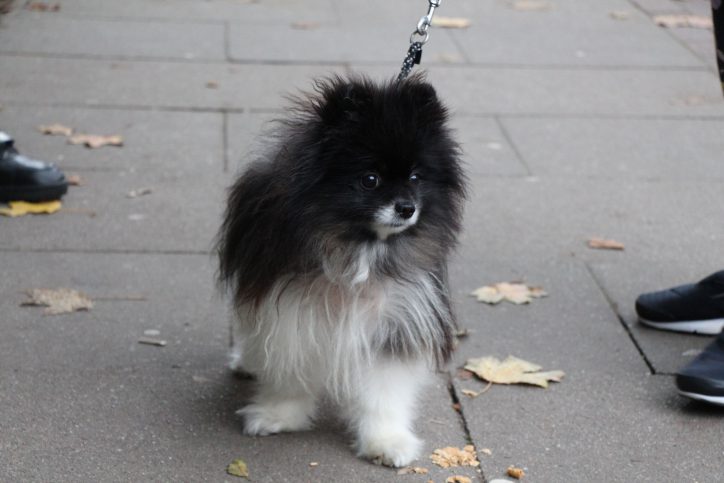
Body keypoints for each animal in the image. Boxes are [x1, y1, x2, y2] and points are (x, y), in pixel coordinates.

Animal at [216, 73, 464, 468]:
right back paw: (247, 360)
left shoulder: (394, 319)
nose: (407, 208)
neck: (358, 247)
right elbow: (288, 369)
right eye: (370, 179)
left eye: (415, 177)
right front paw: (279, 415)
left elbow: (384, 388)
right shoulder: (291, 309)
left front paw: (385, 440)